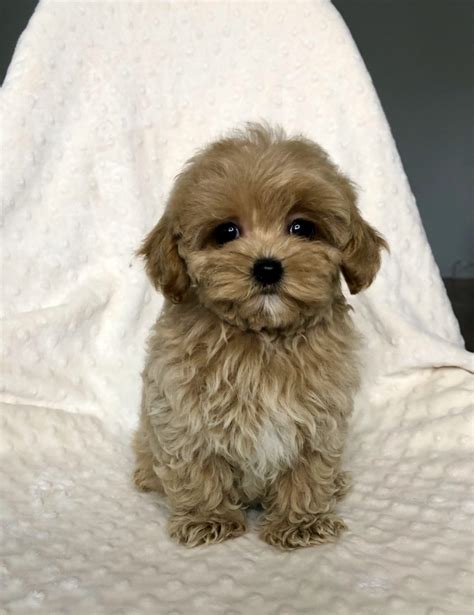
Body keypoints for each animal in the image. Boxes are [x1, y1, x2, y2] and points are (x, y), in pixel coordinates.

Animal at [132, 124, 386, 548]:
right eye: (226, 232)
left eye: (302, 227)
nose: (267, 267)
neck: (263, 337)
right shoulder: (182, 408)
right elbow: (198, 463)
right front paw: (208, 517)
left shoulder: (320, 416)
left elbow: (308, 468)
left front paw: (302, 523)